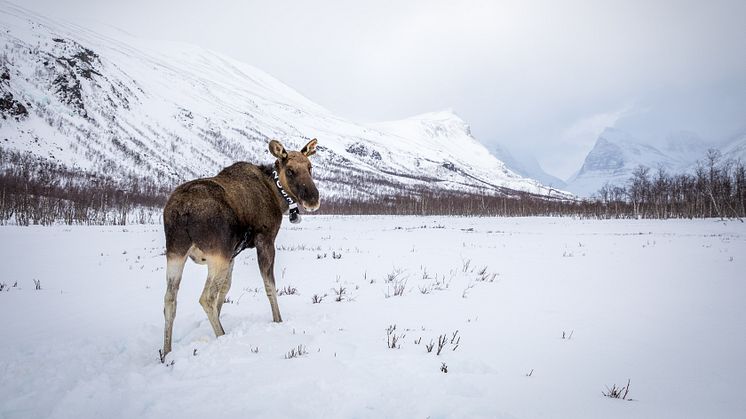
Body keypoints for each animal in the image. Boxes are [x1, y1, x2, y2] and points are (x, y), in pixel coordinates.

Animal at [160, 139, 316, 360]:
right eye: (291, 170)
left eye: (310, 167)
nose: (313, 199)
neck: (277, 196)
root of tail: (183, 211)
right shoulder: (265, 240)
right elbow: (269, 285)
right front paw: (278, 320)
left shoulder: (233, 253)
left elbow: (225, 289)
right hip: (217, 255)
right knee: (206, 297)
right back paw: (221, 336)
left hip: (176, 251)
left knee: (170, 299)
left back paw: (166, 352)